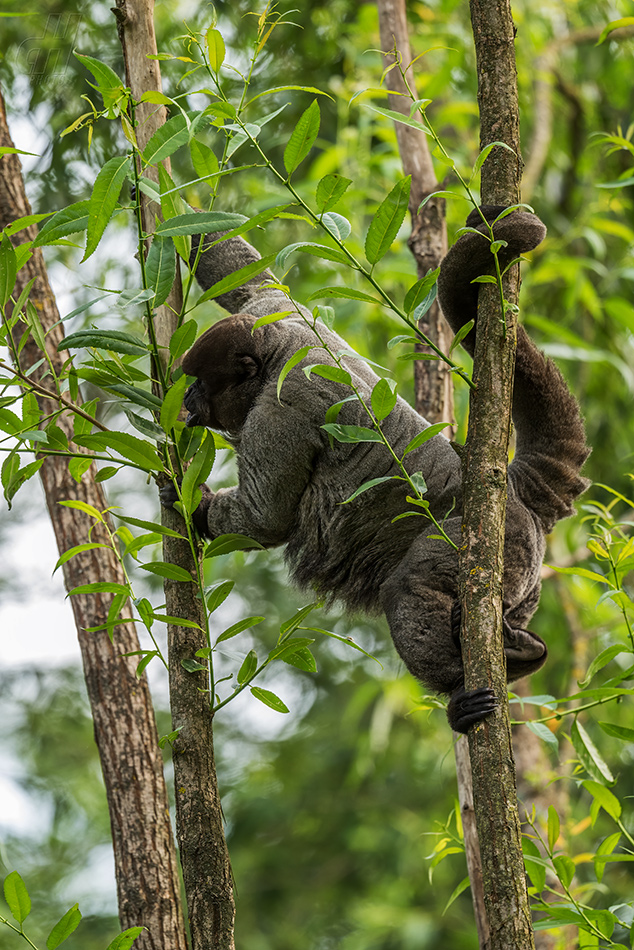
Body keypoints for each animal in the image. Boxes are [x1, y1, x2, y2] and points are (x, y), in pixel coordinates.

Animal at [163, 212, 588, 732]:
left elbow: (267, 519)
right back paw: (524, 653)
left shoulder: (280, 410)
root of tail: (510, 489)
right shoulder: (277, 310)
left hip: (499, 542)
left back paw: (466, 693)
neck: (275, 355)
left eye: (201, 383)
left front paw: (194, 502)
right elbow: (247, 276)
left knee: (408, 587)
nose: (186, 397)